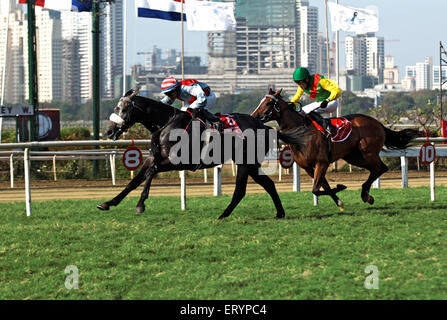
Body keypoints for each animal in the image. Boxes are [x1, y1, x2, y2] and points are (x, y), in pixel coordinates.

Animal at [98, 90, 308, 220]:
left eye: (124, 109)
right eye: (116, 108)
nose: (108, 131)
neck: (166, 124)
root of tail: (266, 127)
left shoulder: (178, 161)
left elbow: (151, 173)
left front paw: (141, 204)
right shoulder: (154, 158)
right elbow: (135, 180)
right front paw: (108, 203)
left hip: (244, 162)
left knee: (240, 190)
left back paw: (223, 214)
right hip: (251, 164)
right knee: (268, 184)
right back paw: (280, 213)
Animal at [252, 89, 424, 211]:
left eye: (268, 103)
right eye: (261, 101)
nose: (254, 116)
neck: (301, 134)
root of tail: (378, 123)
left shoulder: (322, 162)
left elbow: (316, 189)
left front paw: (341, 187)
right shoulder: (308, 167)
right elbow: (323, 187)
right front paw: (339, 201)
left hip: (367, 152)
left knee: (381, 167)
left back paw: (365, 194)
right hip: (353, 156)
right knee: (376, 169)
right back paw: (367, 195)